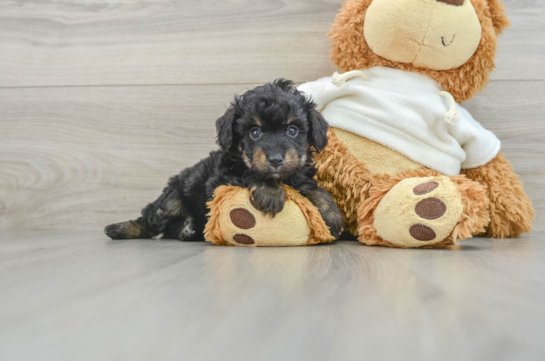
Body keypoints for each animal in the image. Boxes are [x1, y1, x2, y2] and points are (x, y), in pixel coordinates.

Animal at [104, 79, 342, 242]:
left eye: (292, 130)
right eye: (255, 132)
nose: (275, 160)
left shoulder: (300, 176)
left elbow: (317, 190)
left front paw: (331, 213)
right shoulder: (222, 179)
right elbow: (249, 173)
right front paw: (271, 192)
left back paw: (188, 231)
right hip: (172, 199)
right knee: (150, 221)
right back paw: (119, 229)